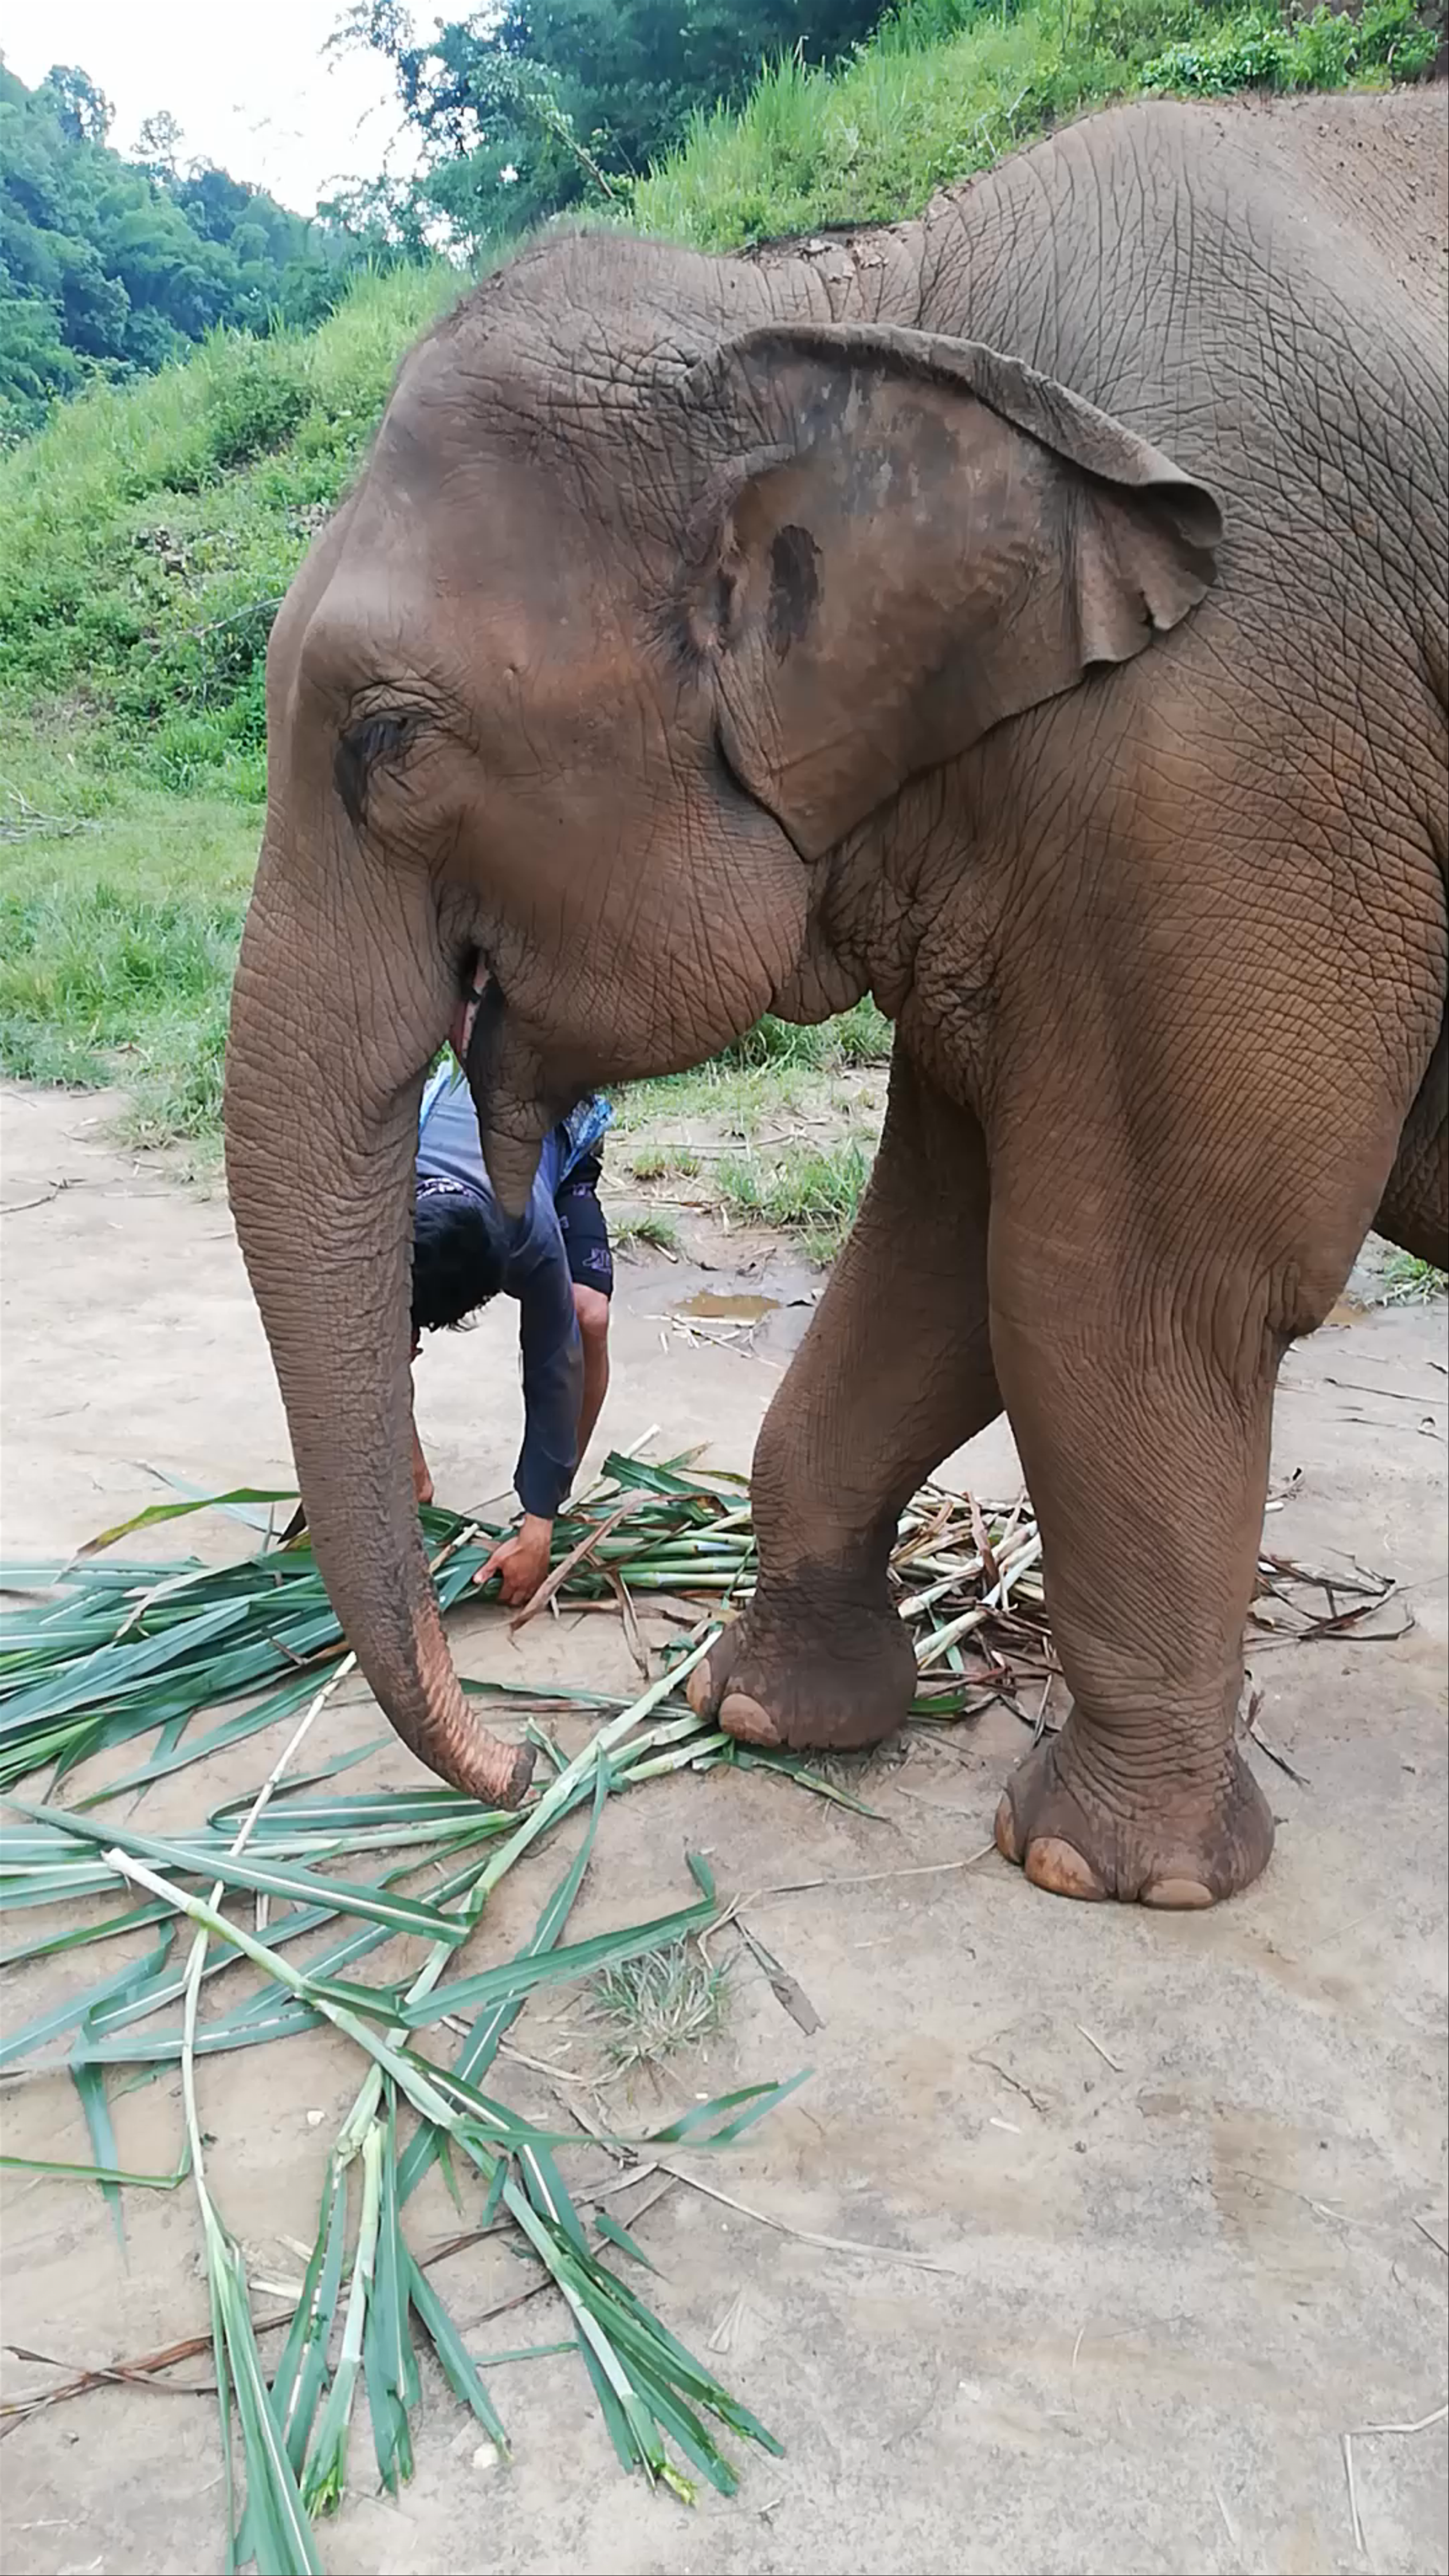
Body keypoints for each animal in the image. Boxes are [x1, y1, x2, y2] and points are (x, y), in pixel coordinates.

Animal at [225, 86, 1448, 1907]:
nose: (517, 1766)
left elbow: (1136, 1277)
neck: (868, 303)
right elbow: (939, 1256)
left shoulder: (1241, 728)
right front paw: (758, 1714)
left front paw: (1106, 1875)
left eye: (383, 741)